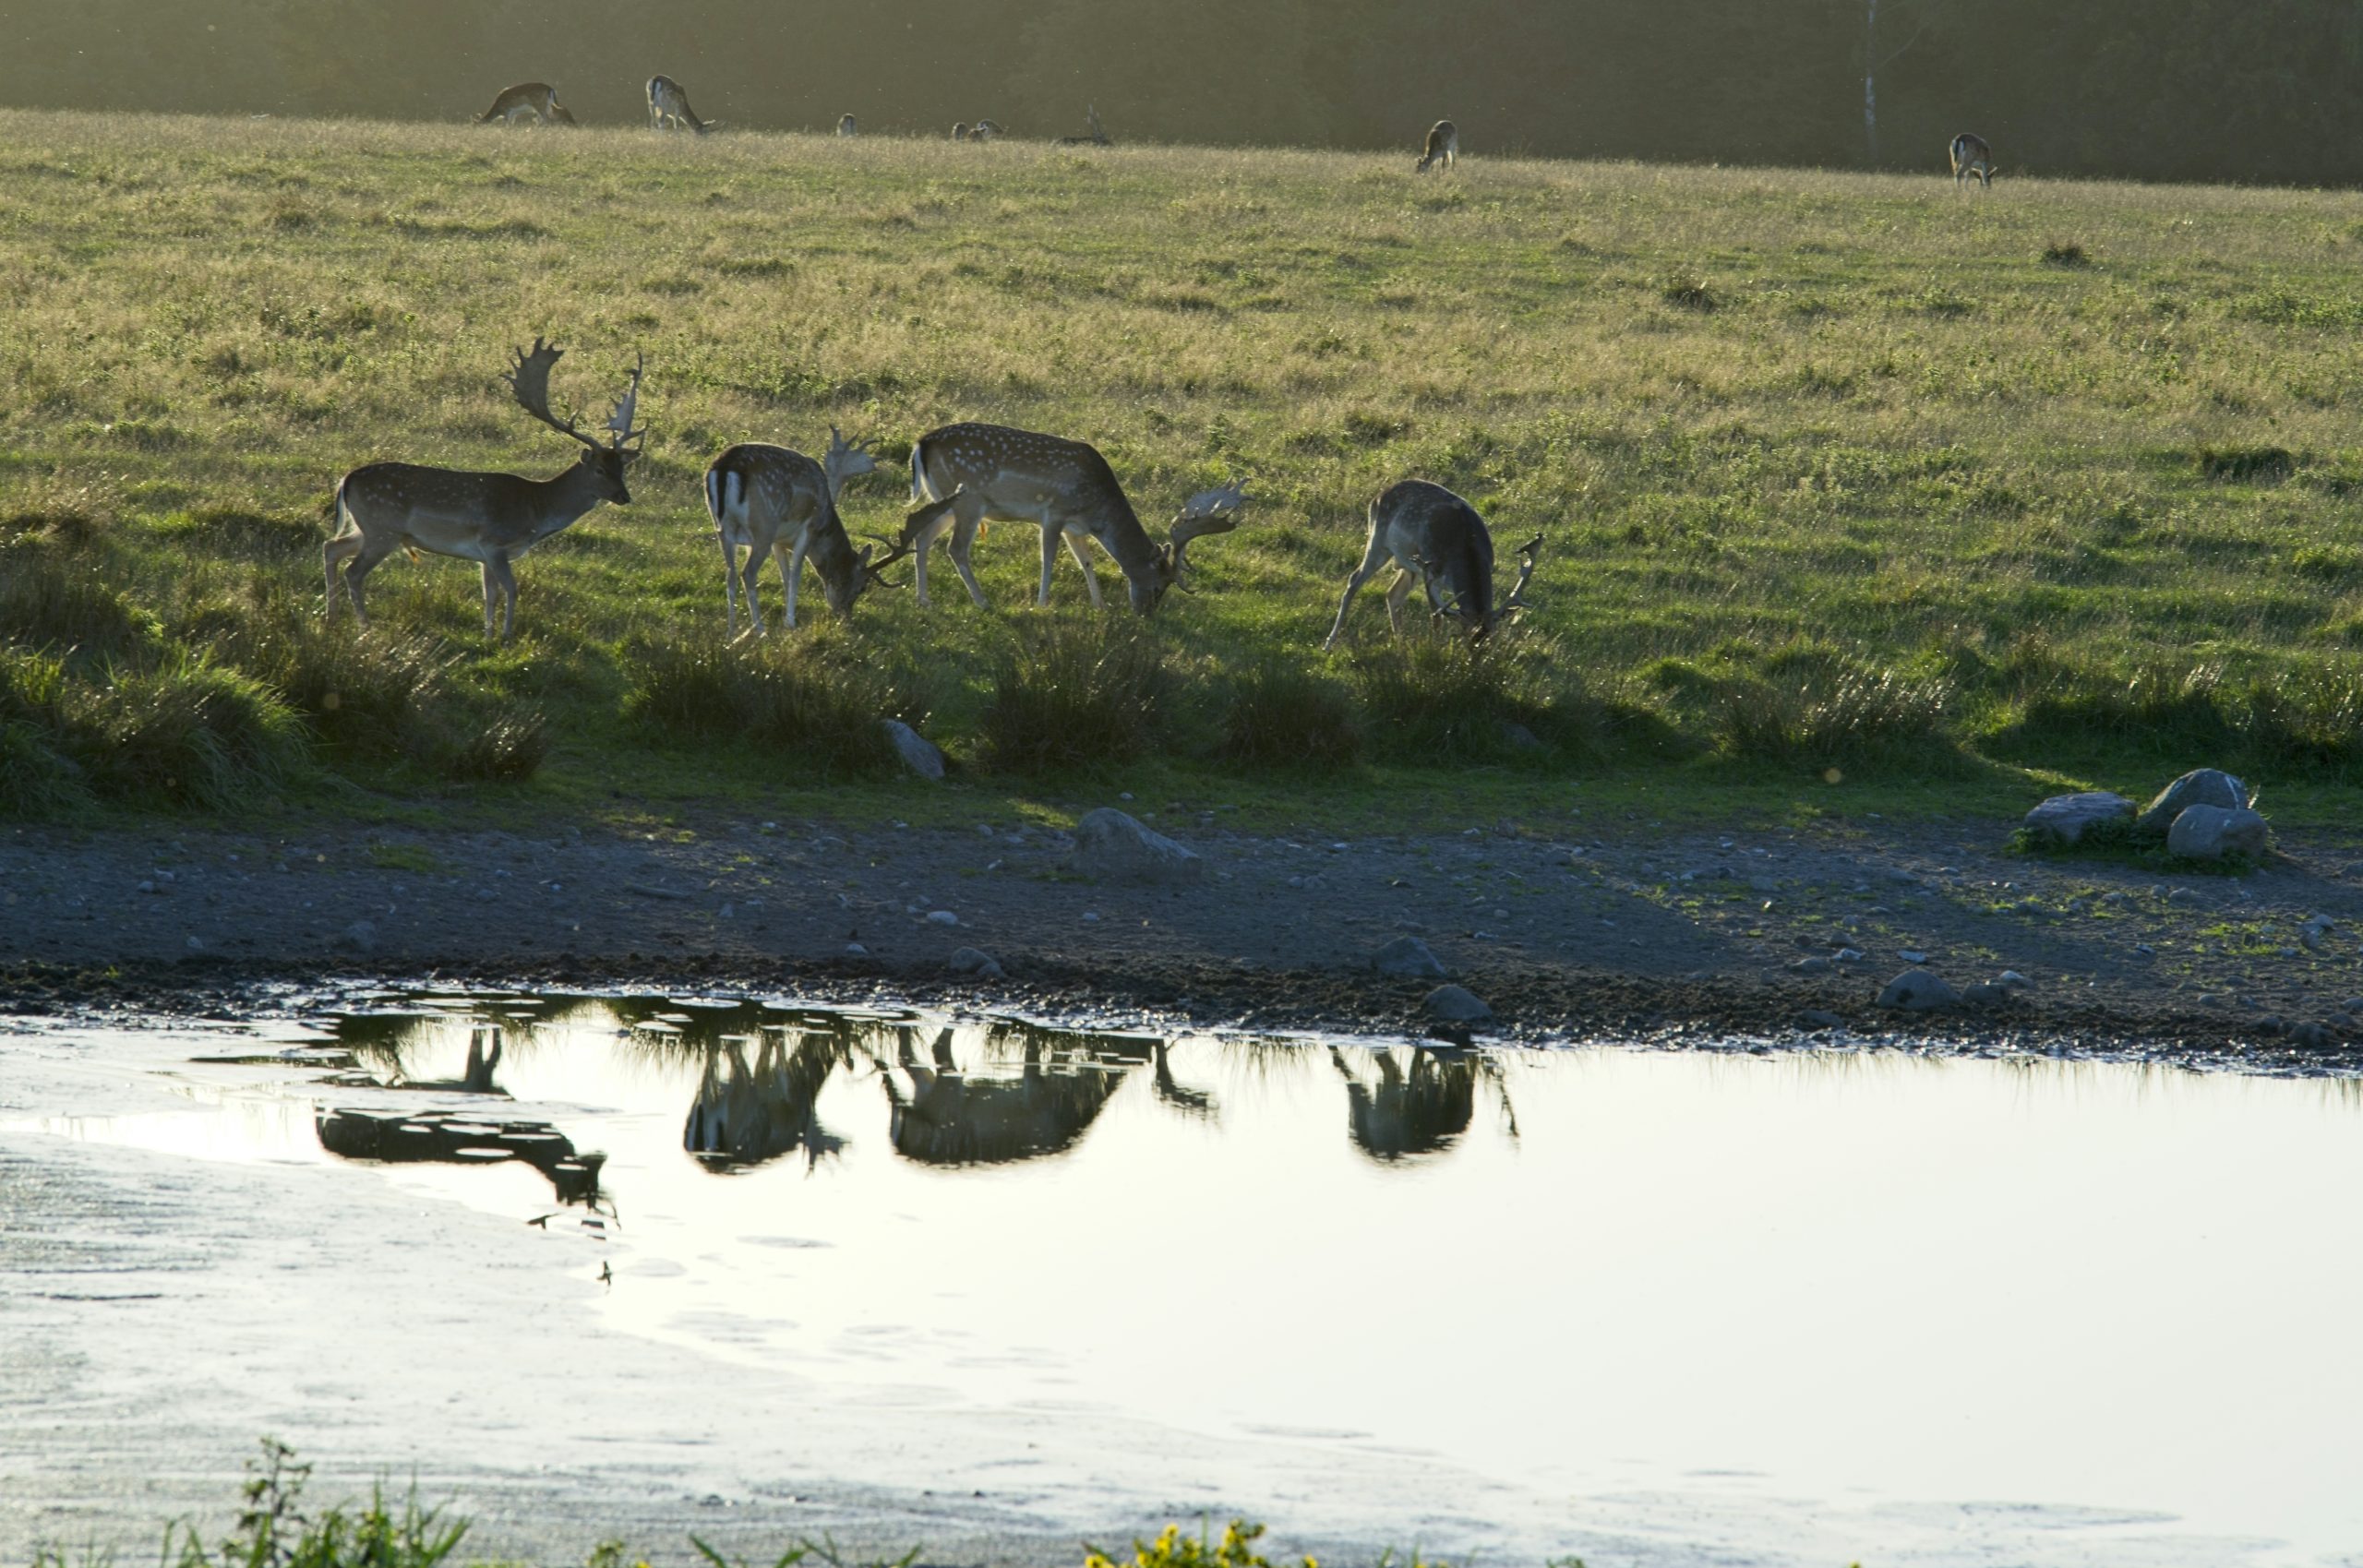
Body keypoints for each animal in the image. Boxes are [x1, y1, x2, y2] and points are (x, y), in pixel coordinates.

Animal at [324, 338, 644, 642]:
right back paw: (364, 626)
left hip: (367, 528)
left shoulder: (484, 555)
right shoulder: (494, 543)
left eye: (622, 468)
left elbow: (490, 594)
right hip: (383, 530)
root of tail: (346, 480)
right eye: (600, 470)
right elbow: (511, 590)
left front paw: (487, 636)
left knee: (331, 547)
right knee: (353, 571)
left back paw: (332, 617)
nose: (624, 496)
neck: (536, 511)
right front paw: (506, 636)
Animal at [702, 426, 919, 632]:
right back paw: (760, 629)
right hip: (764, 526)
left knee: (730, 573)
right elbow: (795, 574)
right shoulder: (809, 529)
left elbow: (785, 576)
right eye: (862, 587)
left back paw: (731, 630)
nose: (845, 617)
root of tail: (725, 467)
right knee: (747, 573)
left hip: (722, 527)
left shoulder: (778, 541)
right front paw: (791, 622)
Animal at [902, 422, 1248, 613]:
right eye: (1158, 587)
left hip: (945, 501)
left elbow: (1087, 561)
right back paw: (982, 602)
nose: (1145, 614)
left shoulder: (1075, 527)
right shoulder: (1054, 512)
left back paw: (923, 600)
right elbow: (1049, 559)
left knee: (923, 536)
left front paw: (1100, 605)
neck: (1095, 509)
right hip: (969, 499)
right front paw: (1042, 603)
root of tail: (921, 444)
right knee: (956, 549)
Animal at [1323, 479, 1538, 649]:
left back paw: (1400, 646)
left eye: (1491, 638)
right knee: (1354, 581)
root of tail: (1378, 495)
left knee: (1392, 594)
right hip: (1378, 542)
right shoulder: (1431, 571)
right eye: (1466, 636)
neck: (1465, 547)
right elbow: (1436, 617)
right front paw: (1435, 650)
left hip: (1409, 566)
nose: (1475, 662)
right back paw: (1329, 642)